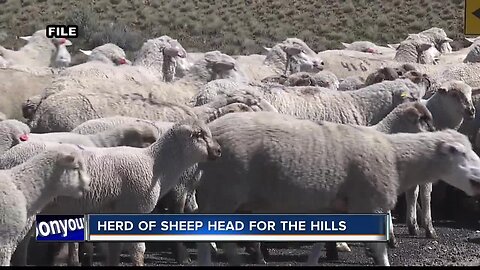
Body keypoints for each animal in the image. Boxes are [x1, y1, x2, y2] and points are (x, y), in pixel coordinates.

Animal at [192, 111, 480, 266]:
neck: (394, 156)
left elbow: (320, 243)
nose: (478, 180)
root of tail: (212, 131)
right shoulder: (369, 205)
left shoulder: (334, 208)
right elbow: (380, 251)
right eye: (457, 152)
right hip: (222, 193)